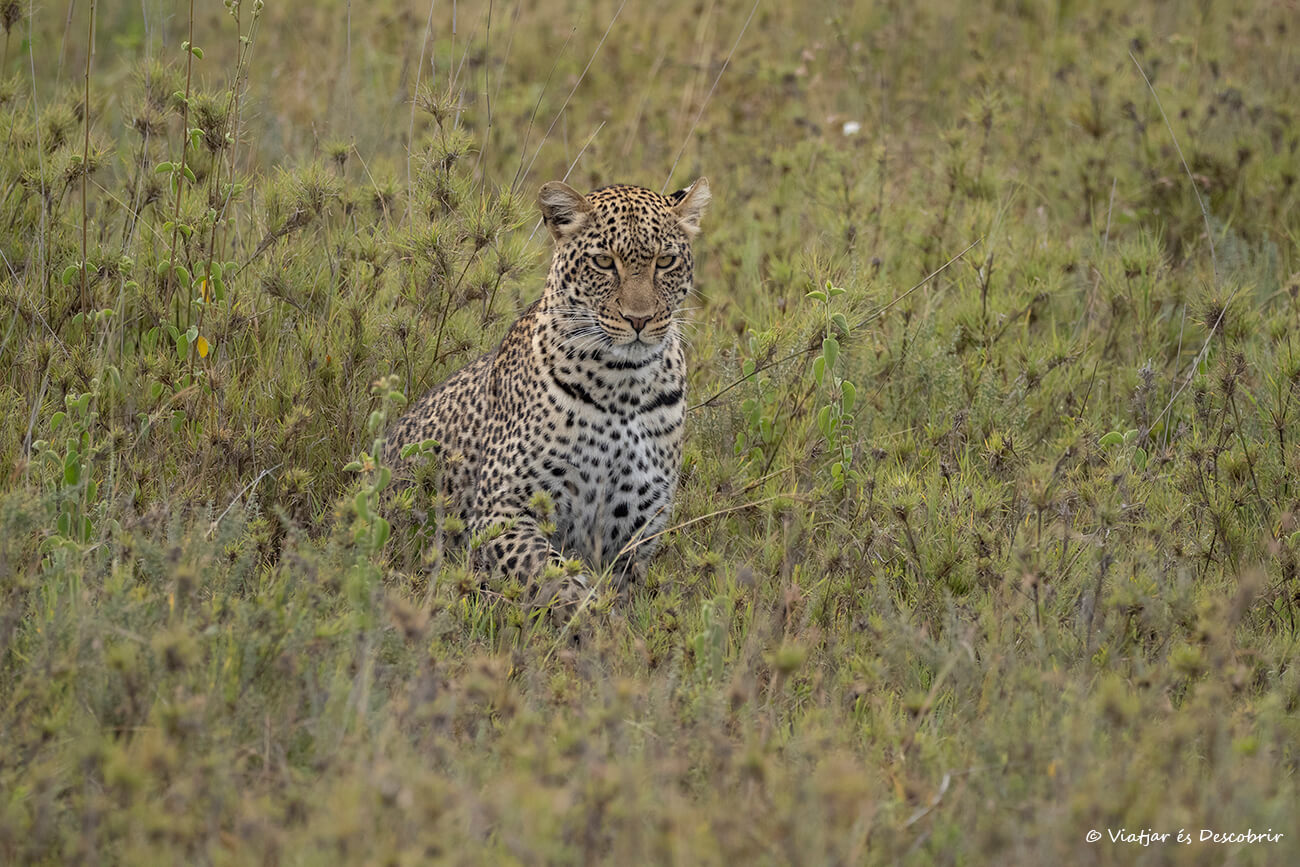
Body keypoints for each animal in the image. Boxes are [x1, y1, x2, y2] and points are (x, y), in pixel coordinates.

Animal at [383, 177, 711, 621]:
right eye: (603, 262)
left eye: (665, 262)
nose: (639, 319)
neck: (623, 387)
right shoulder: (502, 512)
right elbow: (557, 577)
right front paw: (594, 620)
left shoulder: (632, 535)